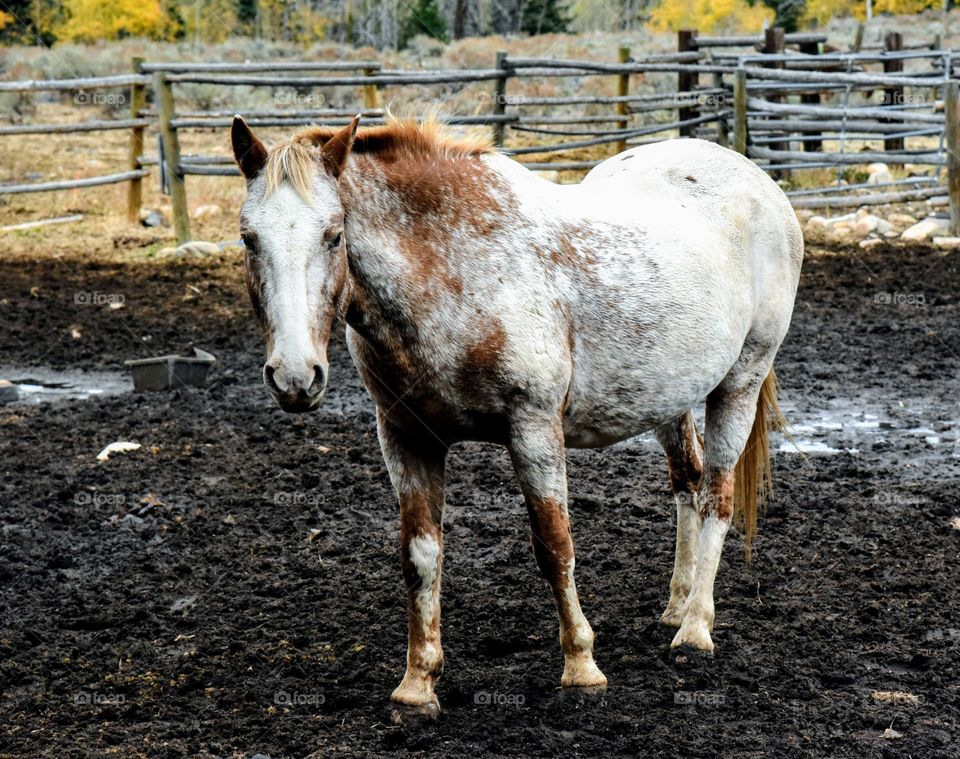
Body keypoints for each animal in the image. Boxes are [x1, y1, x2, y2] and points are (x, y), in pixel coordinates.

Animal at [230, 113, 803, 710]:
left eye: (334, 235)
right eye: (248, 238)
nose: (295, 377)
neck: (457, 271)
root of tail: (756, 181)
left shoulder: (534, 429)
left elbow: (554, 545)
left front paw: (582, 665)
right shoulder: (407, 437)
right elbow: (420, 556)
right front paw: (418, 683)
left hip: (740, 381)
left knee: (716, 496)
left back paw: (694, 629)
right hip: (670, 396)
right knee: (687, 485)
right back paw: (676, 606)